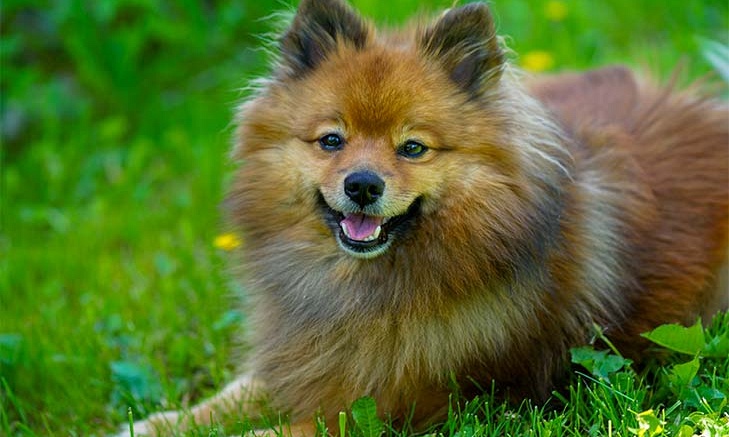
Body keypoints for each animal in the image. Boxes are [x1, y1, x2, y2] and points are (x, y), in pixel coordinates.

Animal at [126, 0, 728, 434]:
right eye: (331, 141)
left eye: (413, 148)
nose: (362, 184)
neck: (364, 289)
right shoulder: (304, 356)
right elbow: (227, 399)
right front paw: (155, 423)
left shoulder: (396, 404)